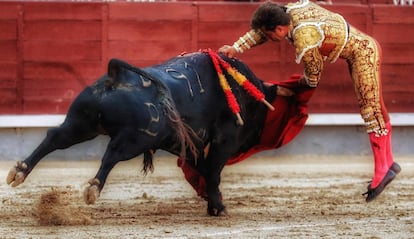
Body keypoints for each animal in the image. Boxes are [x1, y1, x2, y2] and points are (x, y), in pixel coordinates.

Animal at [5, 51, 304, 216]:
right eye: (263, 113)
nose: (254, 139)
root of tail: (115, 77)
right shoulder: (224, 141)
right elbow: (213, 172)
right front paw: (217, 208)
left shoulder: (187, 143)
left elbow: (202, 169)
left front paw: (211, 202)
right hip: (135, 139)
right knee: (111, 154)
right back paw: (93, 189)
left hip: (82, 123)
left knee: (55, 137)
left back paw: (19, 172)